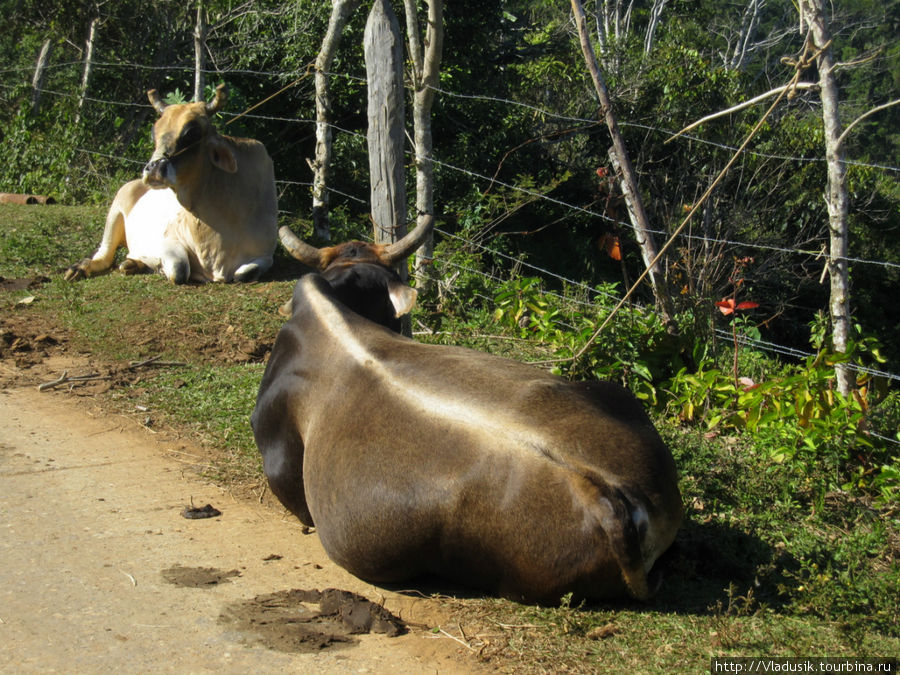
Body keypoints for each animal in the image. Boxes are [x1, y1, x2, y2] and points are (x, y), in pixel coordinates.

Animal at [65, 85, 278, 286]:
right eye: (154, 133)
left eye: (191, 133)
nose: (153, 168)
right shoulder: (167, 242)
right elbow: (179, 270)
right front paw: (159, 266)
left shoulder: (266, 255)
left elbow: (243, 274)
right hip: (116, 209)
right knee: (104, 255)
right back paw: (81, 268)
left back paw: (133, 264)